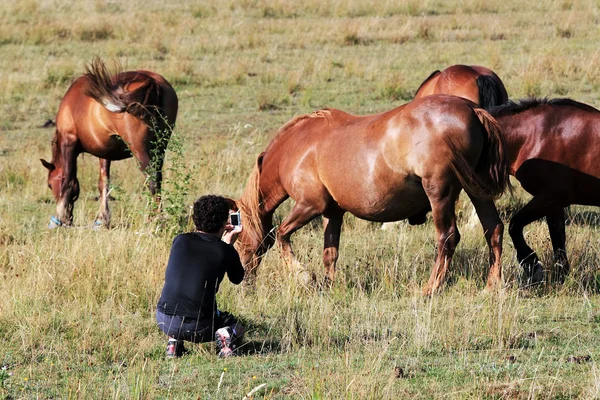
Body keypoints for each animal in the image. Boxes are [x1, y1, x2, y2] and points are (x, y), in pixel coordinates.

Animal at [38, 57, 176, 230]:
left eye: (50, 184)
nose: (69, 219)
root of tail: (151, 81)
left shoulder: (69, 143)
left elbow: (68, 181)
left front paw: (58, 217)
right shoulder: (104, 153)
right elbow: (103, 183)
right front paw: (102, 218)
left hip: (140, 149)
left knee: (152, 180)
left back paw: (155, 220)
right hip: (160, 147)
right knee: (157, 179)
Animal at [234, 94, 510, 294]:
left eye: (237, 240)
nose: (243, 283)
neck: (297, 147)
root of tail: (471, 109)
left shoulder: (310, 205)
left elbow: (282, 235)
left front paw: (304, 276)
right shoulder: (332, 213)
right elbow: (330, 253)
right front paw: (327, 286)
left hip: (440, 193)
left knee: (448, 238)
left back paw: (430, 289)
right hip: (477, 191)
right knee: (493, 229)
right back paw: (491, 286)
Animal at [490, 97, 600, 284]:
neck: (536, 135)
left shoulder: (547, 198)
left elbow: (514, 224)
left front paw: (532, 265)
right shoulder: (554, 205)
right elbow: (558, 240)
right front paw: (560, 276)